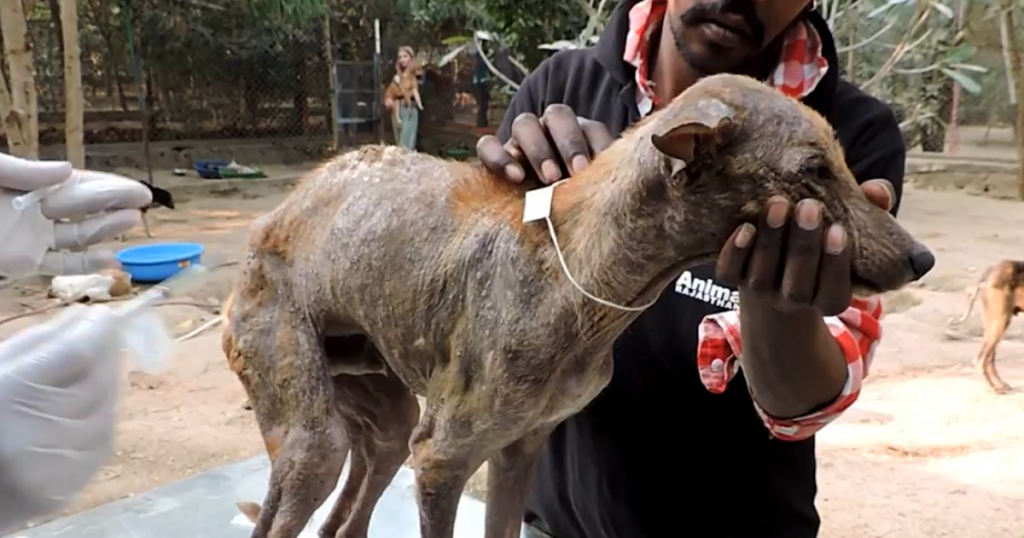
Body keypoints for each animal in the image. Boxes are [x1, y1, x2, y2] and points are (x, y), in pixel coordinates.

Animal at [942, 261, 1024, 393]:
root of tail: (988, 274)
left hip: (994, 324)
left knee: (988, 359)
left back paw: (999, 385)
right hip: (1000, 322)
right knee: (981, 360)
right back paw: (993, 387)